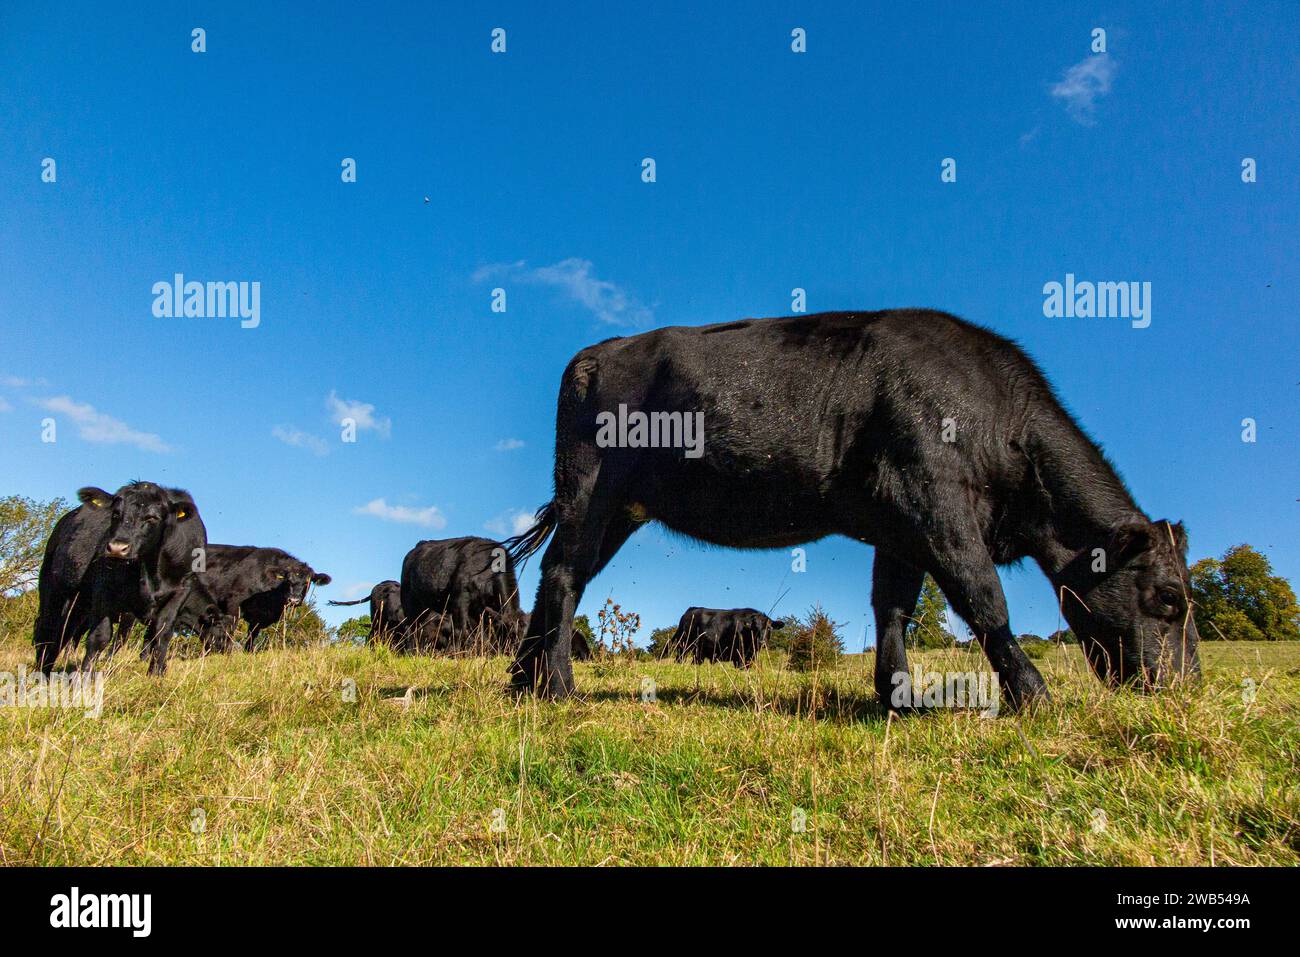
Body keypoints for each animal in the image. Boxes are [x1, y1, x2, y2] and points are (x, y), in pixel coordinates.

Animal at [33, 483, 207, 675]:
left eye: (152, 517)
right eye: (116, 513)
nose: (117, 548)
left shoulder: (180, 591)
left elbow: (162, 634)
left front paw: (155, 674)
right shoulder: (105, 589)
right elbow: (100, 637)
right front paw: (86, 676)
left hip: (78, 604)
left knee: (64, 633)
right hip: (52, 589)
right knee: (47, 631)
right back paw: (41, 671)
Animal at [174, 545, 331, 652]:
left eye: (307, 582)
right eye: (287, 580)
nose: (293, 600)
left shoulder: (260, 618)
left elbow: (252, 636)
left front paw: (248, 652)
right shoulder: (234, 604)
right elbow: (231, 630)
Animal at [400, 537, 530, 655]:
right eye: (513, 634)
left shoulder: (479, 610)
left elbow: (480, 635)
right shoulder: (460, 599)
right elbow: (460, 630)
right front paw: (456, 654)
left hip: (425, 607)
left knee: (419, 627)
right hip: (408, 599)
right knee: (410, 627)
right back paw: (410, 652)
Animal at [505, 309, 1200, 711]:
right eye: (1169, 598)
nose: (1184, 687)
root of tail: (598, 352)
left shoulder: (900, 529)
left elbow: (893, 608)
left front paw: (898, 698)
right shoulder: (936, 503)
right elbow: (985, 601)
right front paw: (1035, 696)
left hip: (618, 508)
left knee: (557, 579)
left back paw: (522, 679)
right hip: (592, 492)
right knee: (562, 575)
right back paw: (559, 689)